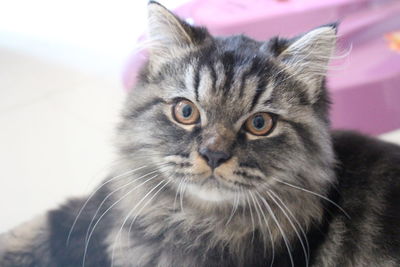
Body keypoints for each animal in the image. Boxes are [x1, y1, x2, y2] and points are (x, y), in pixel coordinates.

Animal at [0, 2, 400, 267]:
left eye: (260, 124)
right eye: (186, 112)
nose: (213, 155)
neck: (187, 222)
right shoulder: (91, 211)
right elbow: (32, 230)